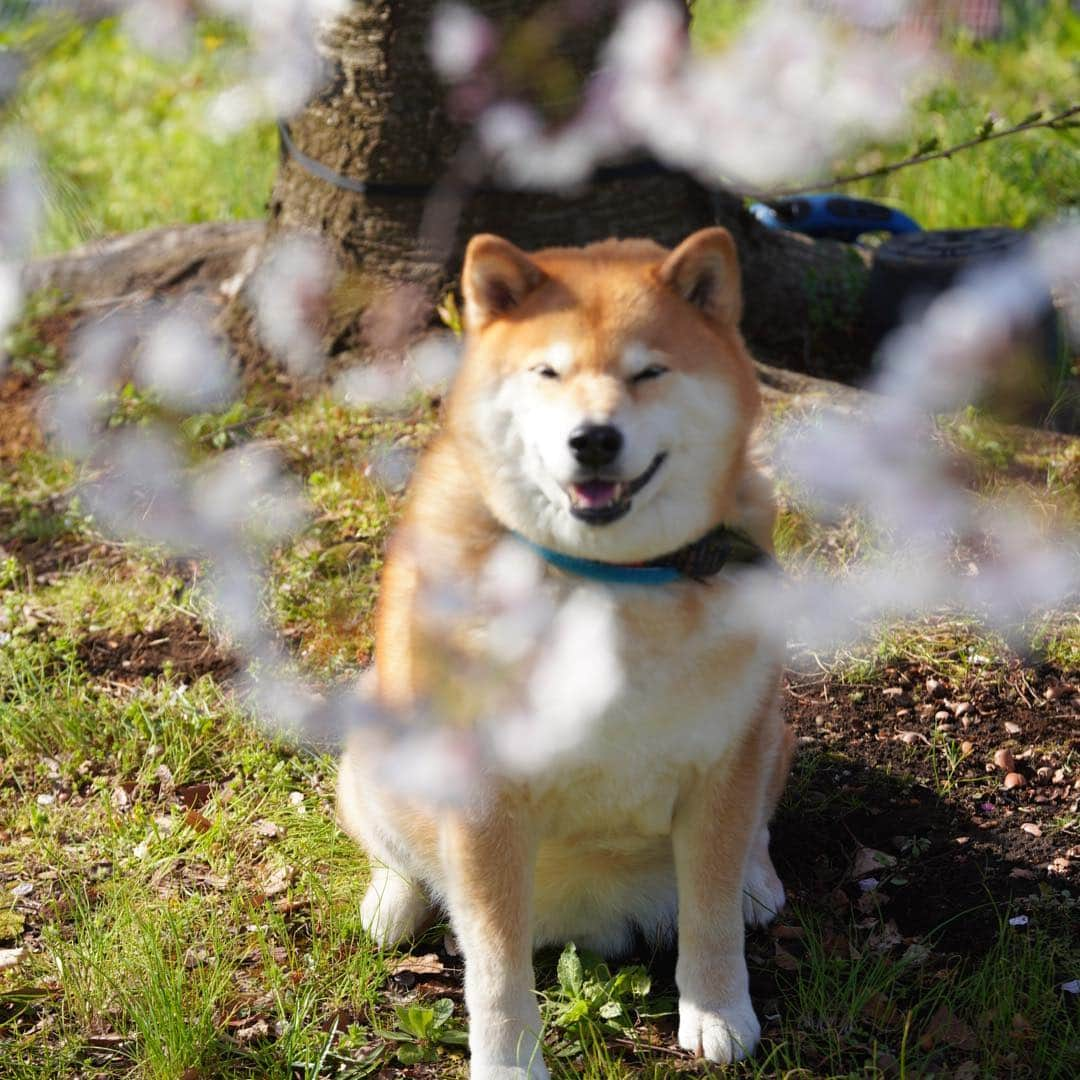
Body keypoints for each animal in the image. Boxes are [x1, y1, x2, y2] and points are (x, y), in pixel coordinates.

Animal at [336, 227, 794, 1080]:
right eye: (547, 371)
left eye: (649, 371)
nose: (594, 439)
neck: (606, 577)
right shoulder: (483, 800)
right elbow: (494, 964)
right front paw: (508, 1063)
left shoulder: (721, 765)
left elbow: (710, 910)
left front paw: (717, 1011)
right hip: (380, 737)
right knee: (395, 851)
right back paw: (395, 899)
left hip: (772, 729)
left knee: (758, 828)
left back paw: (758, 879)